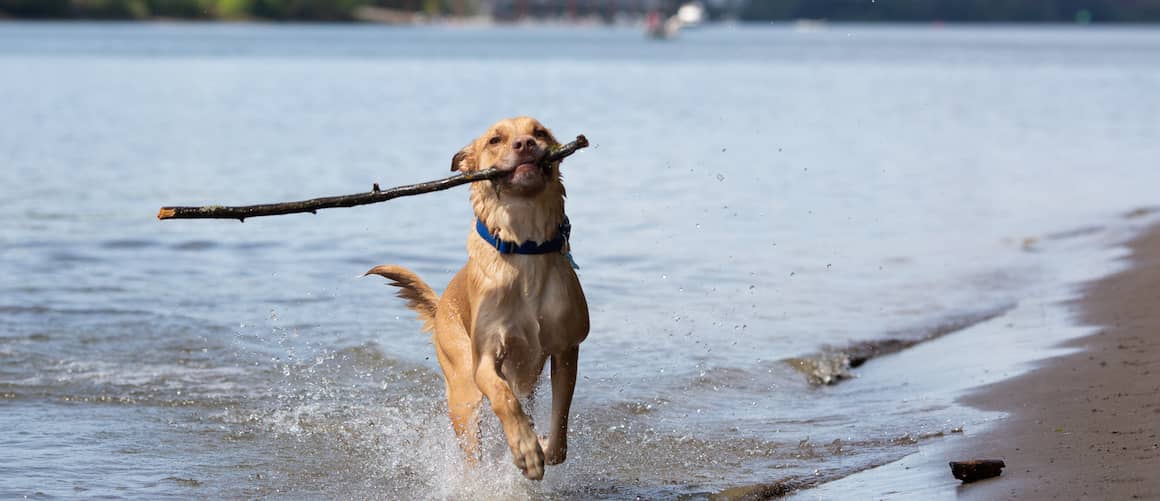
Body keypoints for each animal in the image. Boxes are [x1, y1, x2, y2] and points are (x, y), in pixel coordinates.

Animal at [366, 115, 589, 480]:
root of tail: (440, 305)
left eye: (539, 132)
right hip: (463, 393)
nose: (525, 144)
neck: (523, 247)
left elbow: (560, 424)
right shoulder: (485, 358)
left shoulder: (566, 348)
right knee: (472, 450)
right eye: (495, 140)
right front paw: (526, 449)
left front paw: (542, 444)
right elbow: (502, 396)